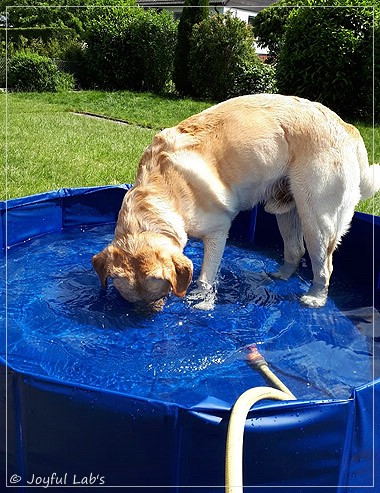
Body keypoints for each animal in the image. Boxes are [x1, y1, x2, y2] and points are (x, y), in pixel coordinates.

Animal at [93, 92, 380, 308]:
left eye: (160, 294)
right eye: (131, 301)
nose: (145, 316)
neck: (160, 192)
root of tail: (345, 126)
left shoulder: (218, 232)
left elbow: (206, 276)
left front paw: (202, 301)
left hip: (317, 219)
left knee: (325, 266)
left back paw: (315, 298)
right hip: (287, 211)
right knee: (295, 249)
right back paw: (280, 276)